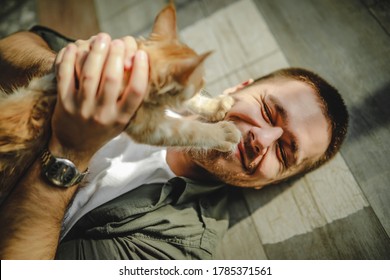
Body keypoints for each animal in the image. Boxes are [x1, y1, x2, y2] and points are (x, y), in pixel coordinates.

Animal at [0, 4, 241, 203]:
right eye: (201, 80)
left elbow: (190, 103)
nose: (204, 84)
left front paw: (215, 106)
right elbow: (189, 131)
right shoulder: (147, 127)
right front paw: (223, 134)